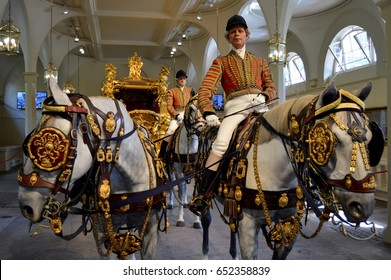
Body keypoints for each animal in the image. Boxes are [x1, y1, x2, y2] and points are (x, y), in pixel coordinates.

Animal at [167, 99, 207, 229]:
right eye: (192, 109)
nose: (201, 126)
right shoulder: (178, 171)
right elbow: (180, 190)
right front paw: (180, 219)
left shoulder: (197, 173)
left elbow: (195, 194)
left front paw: (197, 221)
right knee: (173, 187)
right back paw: (171, 203)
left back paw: (185, 202)